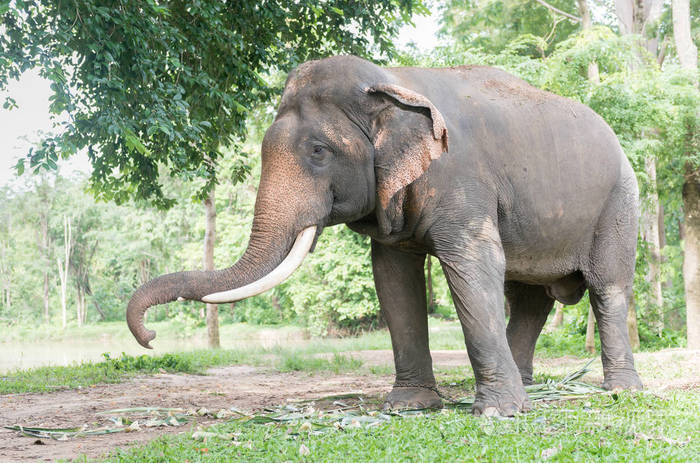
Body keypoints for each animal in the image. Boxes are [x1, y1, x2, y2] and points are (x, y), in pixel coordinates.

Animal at [127, 54, 644, 416]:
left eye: (318, 151)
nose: (151, 337)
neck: (389, 83)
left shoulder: (463, 180)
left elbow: (473, 267)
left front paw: (497, 414)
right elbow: (392, 278)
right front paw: (409, 406)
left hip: (619, 203)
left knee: (607, 287)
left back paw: (620, 390)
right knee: (530, 298)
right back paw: (529, 385)